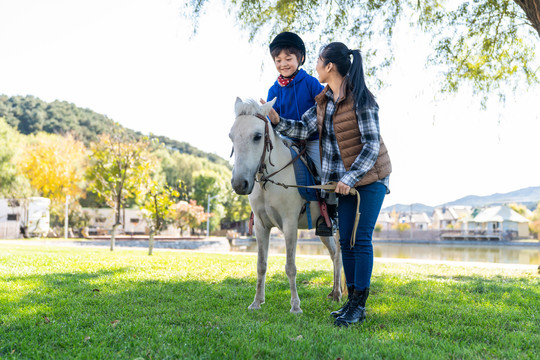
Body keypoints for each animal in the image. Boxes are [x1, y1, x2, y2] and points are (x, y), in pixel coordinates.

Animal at [229, 97, 342, 314]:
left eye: (257, 136)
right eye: (231, 136)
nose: (239, 184)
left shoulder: (290, 224)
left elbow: (290, 267)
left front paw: (296, 306)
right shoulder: (261, 226)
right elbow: (261, 265)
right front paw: (257, 302)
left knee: (341, 254)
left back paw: (340, 293)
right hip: (323, 230)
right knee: (334, 254)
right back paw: (335, 292)